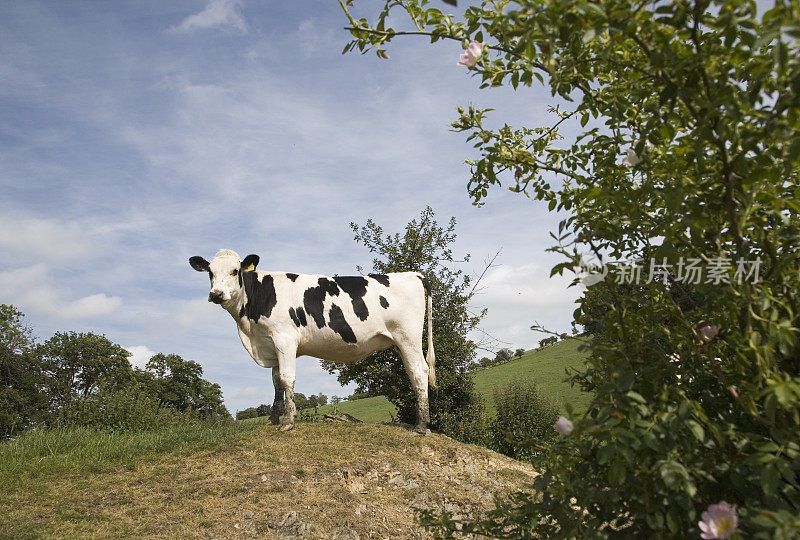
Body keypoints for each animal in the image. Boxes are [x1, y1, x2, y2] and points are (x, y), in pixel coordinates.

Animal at [189, 250, 438, 434]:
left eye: (234, 271)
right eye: (210, 272)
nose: (216, 294)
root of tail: (414, 275)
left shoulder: (284, 339)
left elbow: (287, 379)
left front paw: (288, 421)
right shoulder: (271, 343)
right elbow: (276, 383)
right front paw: (272, 419)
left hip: (408, 337)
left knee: (419, 371)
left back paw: (421, 425)